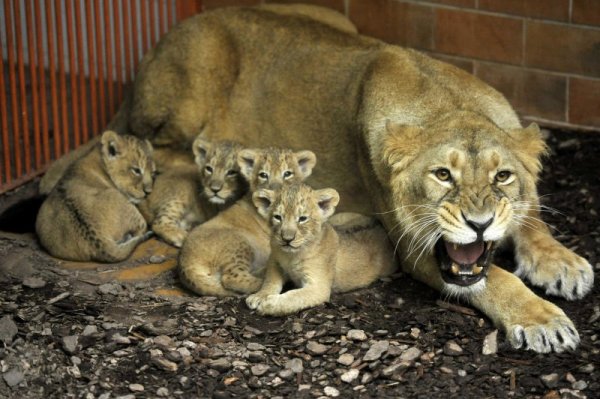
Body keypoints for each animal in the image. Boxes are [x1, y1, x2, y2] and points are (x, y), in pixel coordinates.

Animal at [96, 4, 596, 352]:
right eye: (442, 175)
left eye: (504, 176)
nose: (479, 224)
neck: (447, 104)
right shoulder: (413, 251)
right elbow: (496, 280)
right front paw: (541, 320)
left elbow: (532, 220)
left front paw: (561, 263)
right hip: (188, 90)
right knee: (159, 150)